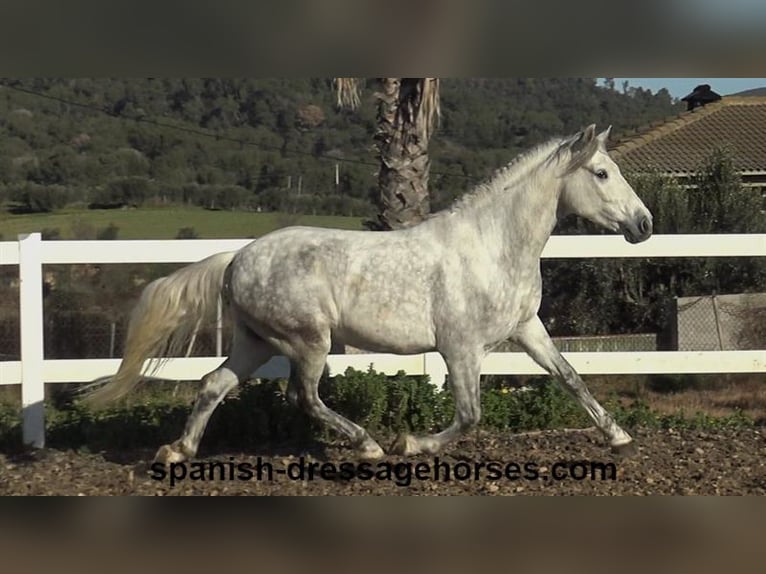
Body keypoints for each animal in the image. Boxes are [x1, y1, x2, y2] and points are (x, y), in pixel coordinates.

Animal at [85, 125, 656, 464]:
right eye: (602, 173)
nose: (644, 225)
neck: (492, 245)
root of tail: (237, 258)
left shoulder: (526, 329)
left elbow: (570, 377)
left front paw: (619, 436)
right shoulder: (461, 347)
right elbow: (469, 414)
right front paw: (411, 441)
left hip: (256, 341)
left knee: (213, 384)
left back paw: (177, 451)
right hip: (307, 341)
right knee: (302, 396)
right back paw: (370, 446)